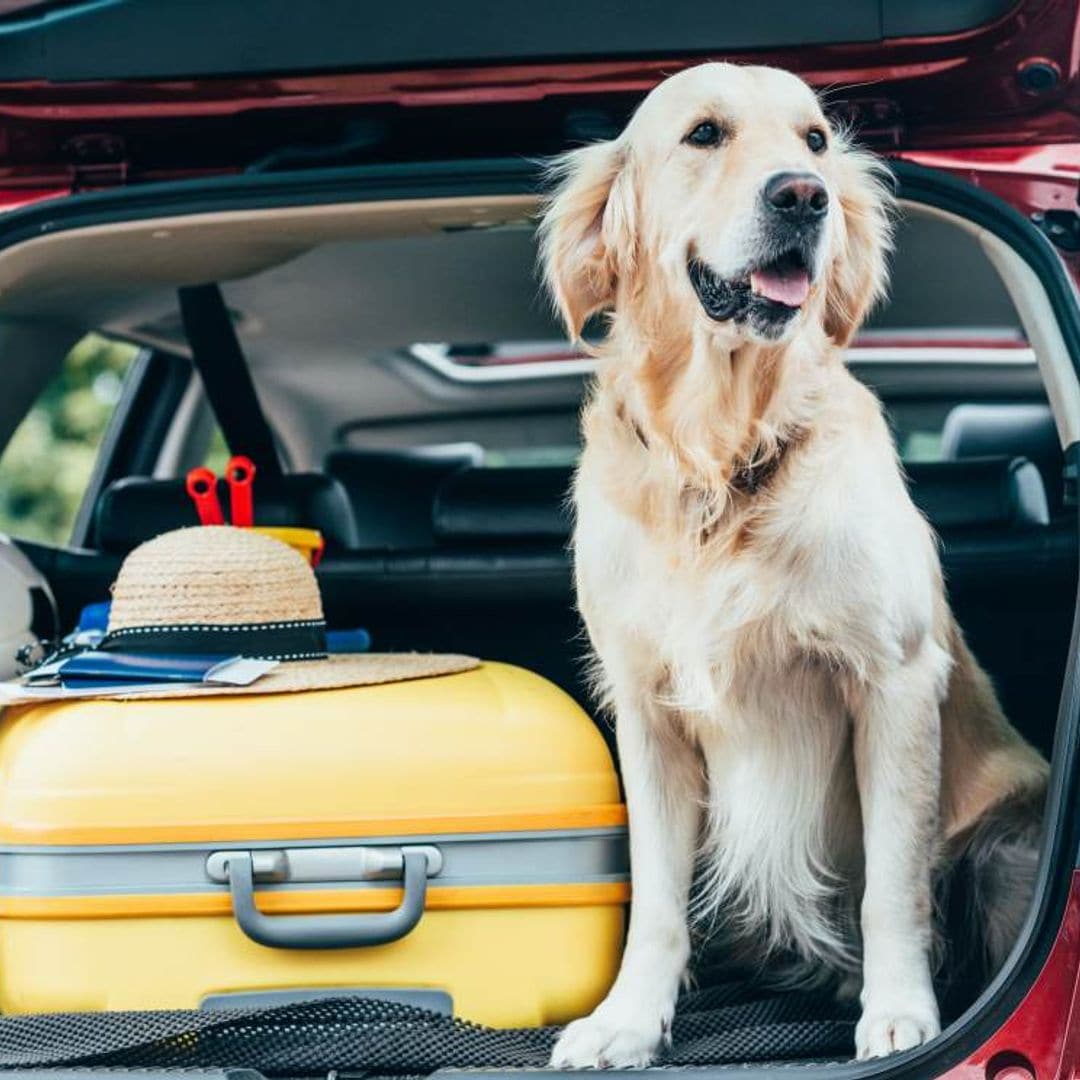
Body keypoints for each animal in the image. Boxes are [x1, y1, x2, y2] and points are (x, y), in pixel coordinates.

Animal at [540, 63, 1045, 1067]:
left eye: (814, 139)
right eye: (704, 134)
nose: (804, 197)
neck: (721, 458)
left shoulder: (891, 680)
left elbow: (893, 884)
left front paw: (900, 1012)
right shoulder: (647, 709)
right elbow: (656, 900)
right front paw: (627, 1021)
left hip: (1007, 842)